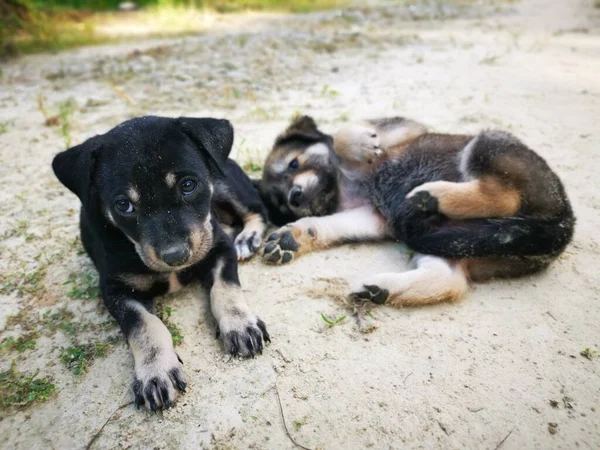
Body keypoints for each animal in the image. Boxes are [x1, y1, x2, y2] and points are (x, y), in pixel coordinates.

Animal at [260, 115, 576, 306]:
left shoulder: (401, 128)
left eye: (294, 164)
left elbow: (341, 135)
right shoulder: (370, 215)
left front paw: (361, 143)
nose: (295, 197)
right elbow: (328, 223)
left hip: (488, 144)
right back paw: (380, 288)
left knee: (506, 196)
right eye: (281, 202)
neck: (342, 182)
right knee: (448, 281)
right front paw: (292, 237)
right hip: (455, 242)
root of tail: (564, 220)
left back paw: (432, 197)